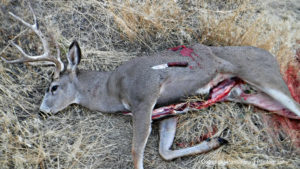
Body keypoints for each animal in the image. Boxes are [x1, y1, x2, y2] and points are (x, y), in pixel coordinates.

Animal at [2, 4, 300, 169]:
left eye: (53, 87)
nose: (42, 110)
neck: (111, 88)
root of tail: (272, 56)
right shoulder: (168, 109)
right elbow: (165, 151)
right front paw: (215, 140)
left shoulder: (145, 97)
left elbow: (137, 153)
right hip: (244, 94)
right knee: (287, 112)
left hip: (263, 75)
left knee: (294, 106)